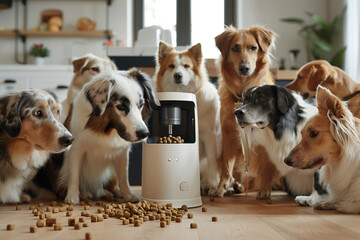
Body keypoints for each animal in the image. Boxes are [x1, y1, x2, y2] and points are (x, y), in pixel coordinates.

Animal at [57, 68, 159, 203]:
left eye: (141, 105)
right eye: (120, 107)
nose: (144, 133)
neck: (107, 129)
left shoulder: (122, 152)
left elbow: (123, 176)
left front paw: (128, 194)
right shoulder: (76, 149)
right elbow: (74, 175)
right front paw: (72, 197)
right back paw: (84, 193)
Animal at [155, 41, 222, 195]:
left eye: (186, 66)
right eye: (171, 66)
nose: (178, 75)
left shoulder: (210, 134)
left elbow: (212, 159)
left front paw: (213, 181)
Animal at [215, 24, 278, 199]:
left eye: (253, 48)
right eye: (235, 48)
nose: (244, 68)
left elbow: (266, 166)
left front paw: (264, 190)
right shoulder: (228, 133)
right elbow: (226, 166)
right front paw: (221, 187)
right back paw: (237, 186)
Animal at [286, 85, 360, 213]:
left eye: (314, 133)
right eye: (302, 134)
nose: (286, 160)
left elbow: (346, 203)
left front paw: (332, 203)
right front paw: (323, 202)